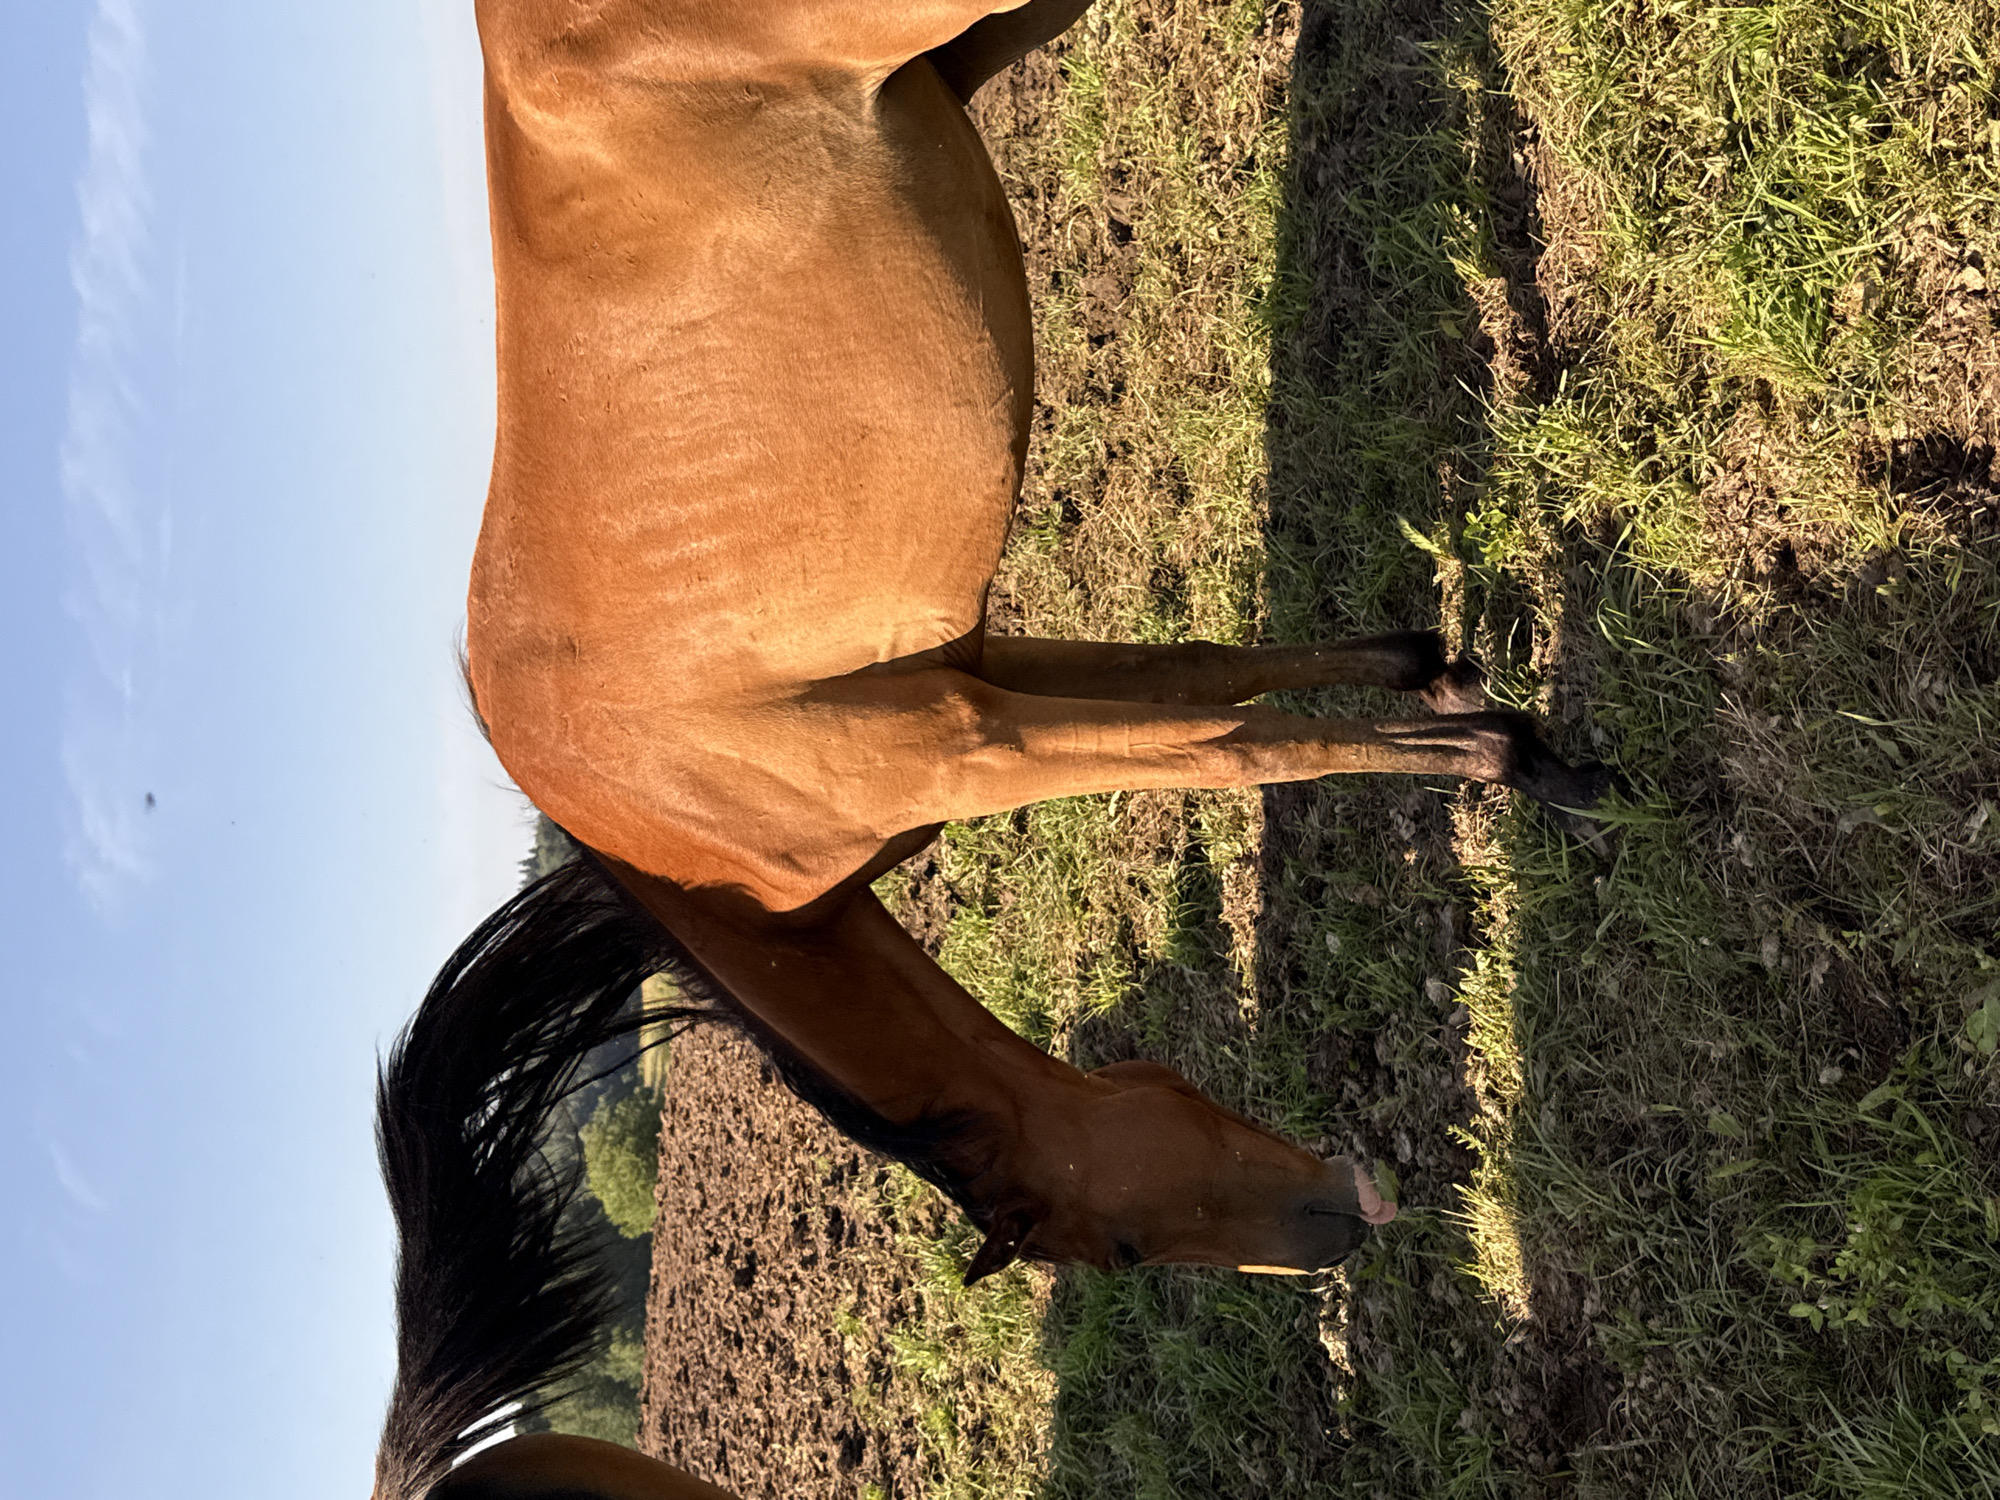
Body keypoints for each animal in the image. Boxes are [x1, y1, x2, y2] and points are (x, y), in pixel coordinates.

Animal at [371, 3, 1608, 1497]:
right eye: (1120, 1249)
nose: (1338, 1227)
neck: (698, 840)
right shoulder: (993, 684)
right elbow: (1216, 683)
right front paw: (1449, 686)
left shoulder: (976, 746)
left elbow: (1229, 750)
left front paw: (1515, 760)